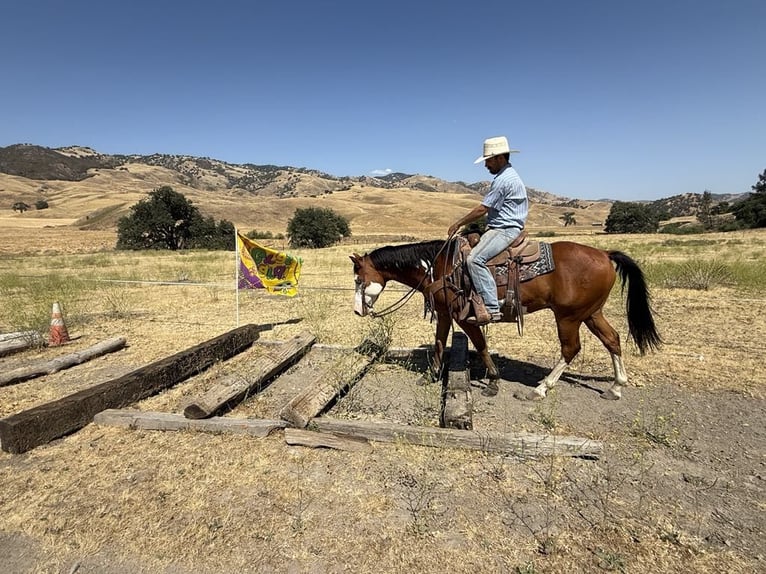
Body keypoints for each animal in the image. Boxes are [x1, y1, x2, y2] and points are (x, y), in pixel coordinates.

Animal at [350, 236, 661, 400]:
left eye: (358, 279)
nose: (356, 311)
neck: (438, 266)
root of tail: (605, 254)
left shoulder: (466, 318)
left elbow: (481, 345)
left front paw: (493, 381)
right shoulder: (445, 314)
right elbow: (439, 342)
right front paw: (432, 375)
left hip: (569, 317)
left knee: (571, 349)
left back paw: (541, 388)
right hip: (591, 313)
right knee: (613, 339)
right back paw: (616, 387)